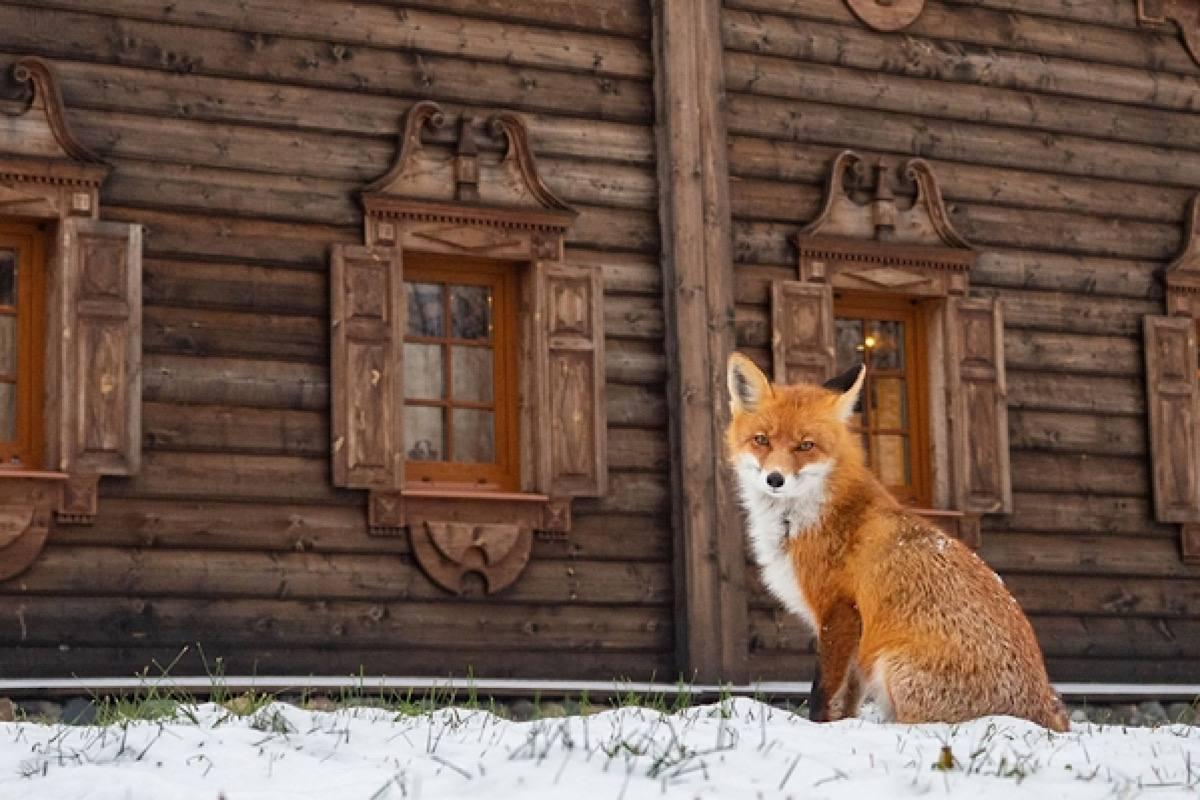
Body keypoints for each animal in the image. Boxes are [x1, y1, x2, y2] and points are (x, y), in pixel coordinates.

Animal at [724, 355, 1065, 734]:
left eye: (805, 446)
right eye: (762, 440)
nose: (775, 479)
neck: (809, 516)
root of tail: (1047, 717)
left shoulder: (840, 611)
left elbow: (823, 693)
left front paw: (820, 730)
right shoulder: (853, 635)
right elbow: (847, 701)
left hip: (892, 665)